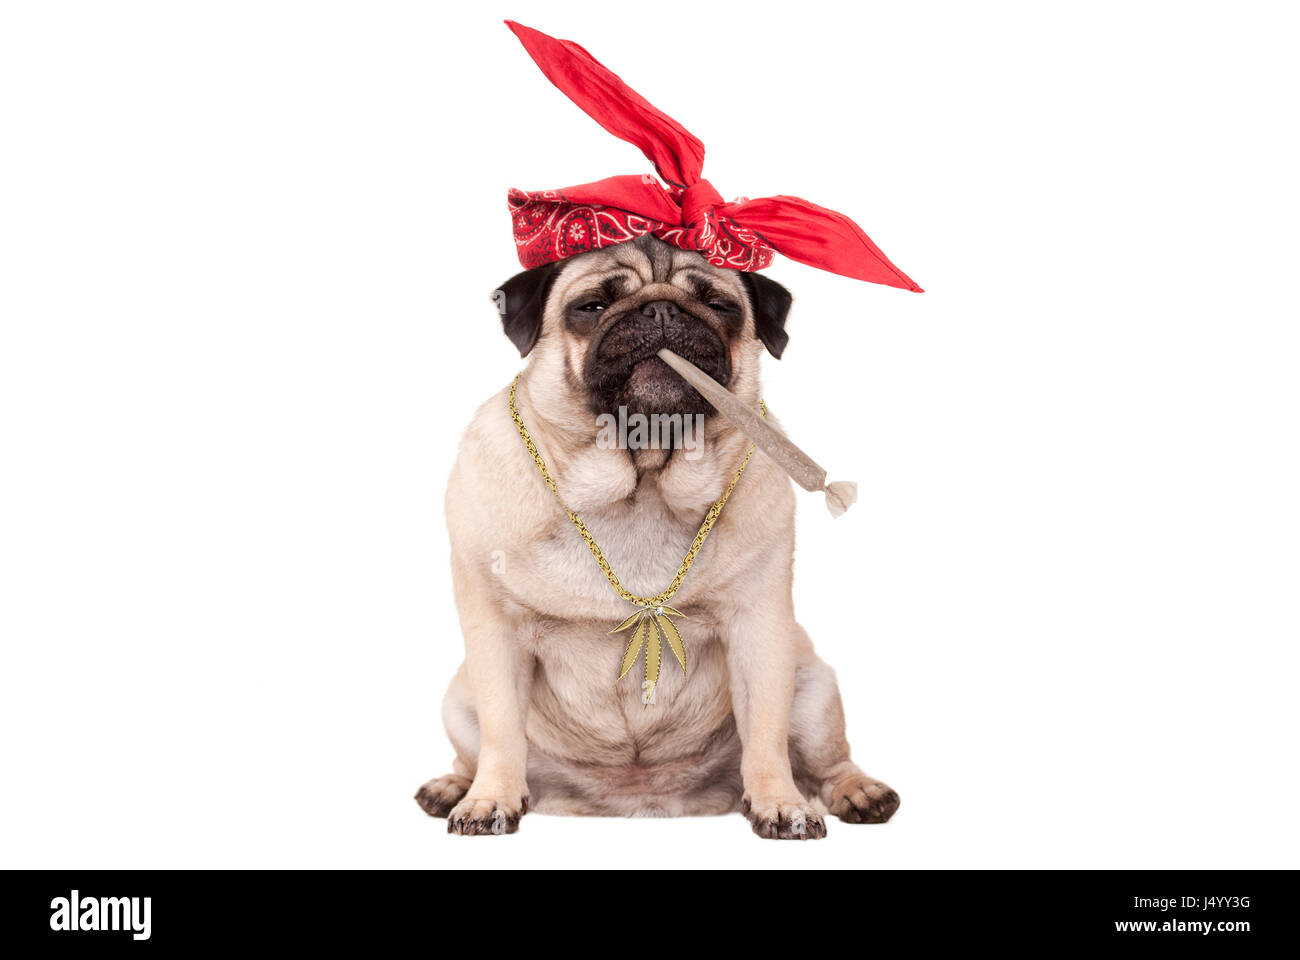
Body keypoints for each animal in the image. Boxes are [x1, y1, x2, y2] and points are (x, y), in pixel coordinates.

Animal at [410, 235, 899, 832]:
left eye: (719, 305)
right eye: (592, 306)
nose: (662, 310)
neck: (640, 484)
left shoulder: (758, 630)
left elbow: (765, 732)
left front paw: (780, 802)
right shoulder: (495, 634)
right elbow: (503, 732)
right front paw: (490, 799)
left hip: (813, 691)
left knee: (827, 762)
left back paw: (858, 792)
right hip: (458, 700)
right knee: (474, 749)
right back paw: (454, 786)